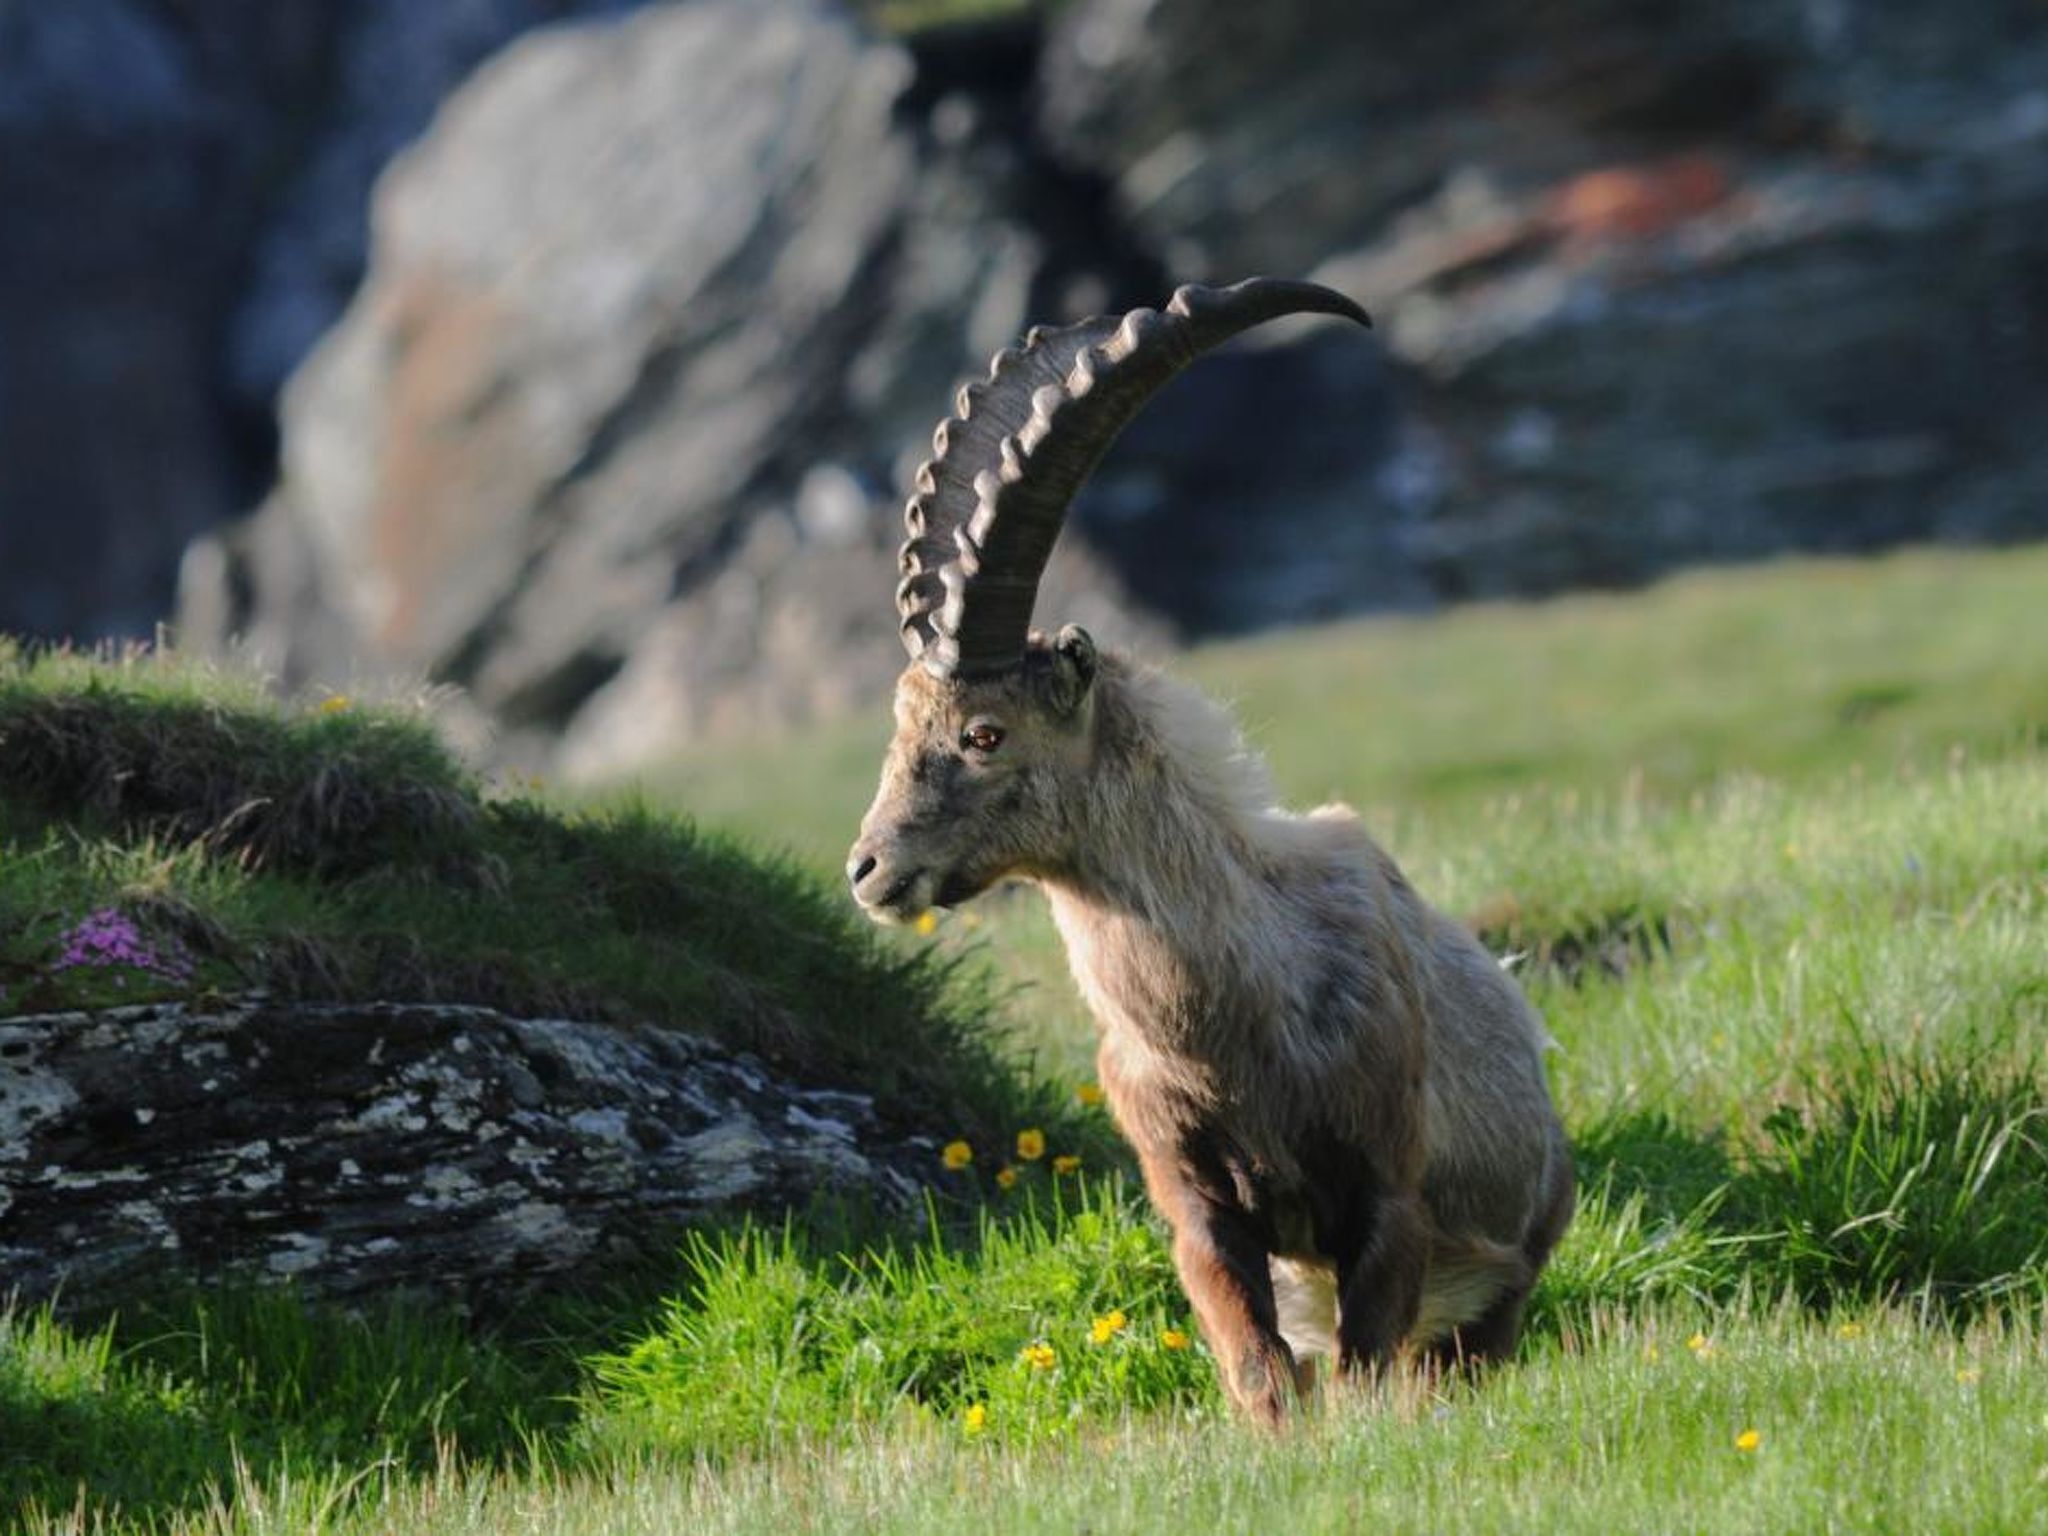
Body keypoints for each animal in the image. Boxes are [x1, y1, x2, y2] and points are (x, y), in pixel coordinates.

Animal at [847, 279, 1573, 1423]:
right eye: (898, 722)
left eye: (984, 733)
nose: (869, 870)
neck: (1229, 1015)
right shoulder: (1199, 1211)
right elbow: (1260, 1377)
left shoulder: (1386, 1197)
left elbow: (1362, 1370)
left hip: (1500, 1282)